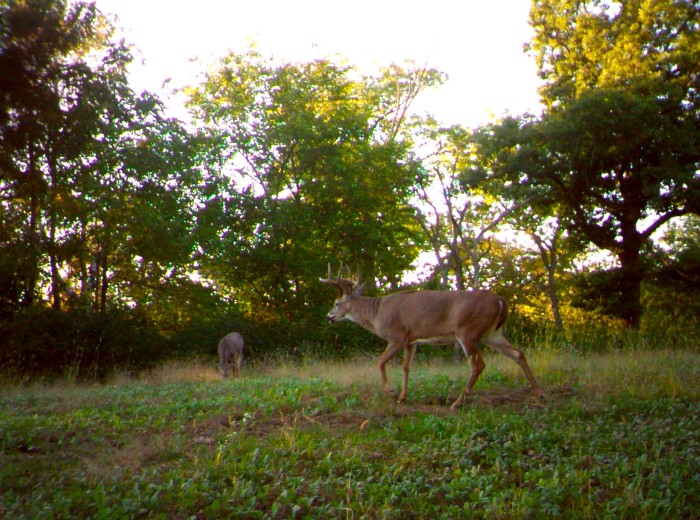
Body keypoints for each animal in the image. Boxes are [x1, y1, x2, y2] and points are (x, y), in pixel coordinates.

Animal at [320, 266, 544, 408]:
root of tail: (501, 302)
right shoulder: (411, 340)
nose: (328, 316)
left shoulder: (397, 336)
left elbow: (381, 362)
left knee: (478, 364)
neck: (376, 313)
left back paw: (457, 403)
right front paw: (402, 397)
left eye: (337, 303)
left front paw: (390, 392)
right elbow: (406, 367)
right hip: (492, 334)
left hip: (468, 331)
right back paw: (538, 394)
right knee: (518, 353)